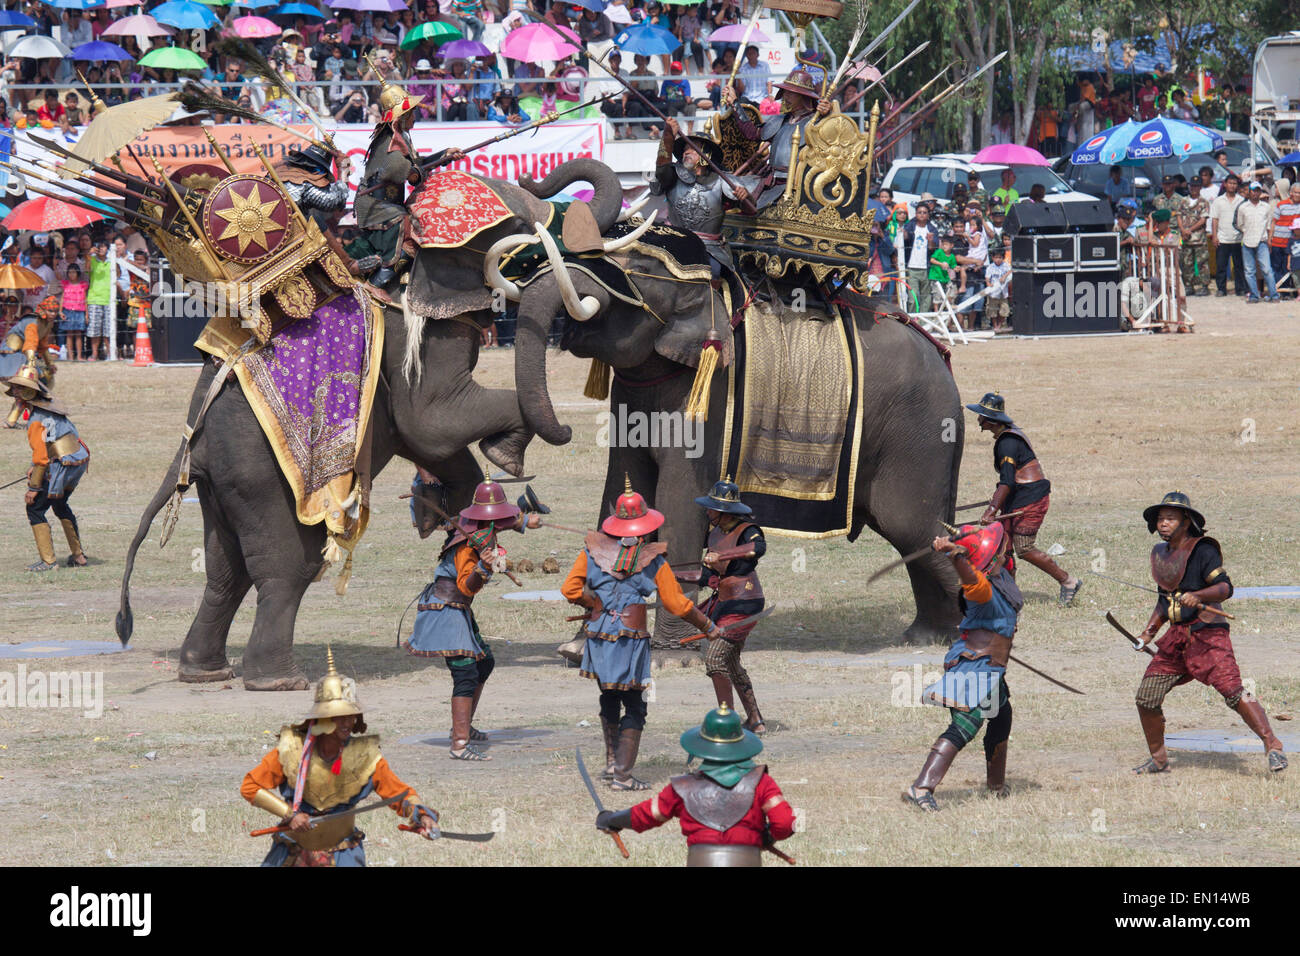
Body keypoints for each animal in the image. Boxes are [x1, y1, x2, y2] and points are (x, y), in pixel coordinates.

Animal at [115, 160, 624, 691]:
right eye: (521, 233)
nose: (537, 182)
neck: (408, 247)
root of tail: (191, 443)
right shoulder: (420, 340)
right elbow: (434, 423)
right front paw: (507, 456)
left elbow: (432, 443)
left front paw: (448, 514)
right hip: (259, 475)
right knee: (286, 567)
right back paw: (282, 681)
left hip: (224, 482)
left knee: (224, 570)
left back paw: (203, 672)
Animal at [506, 257, 967, 647]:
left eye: (634, 267)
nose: (566, 429)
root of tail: (940, 352)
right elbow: (622, 487)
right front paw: (577, 647)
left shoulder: (708, 393)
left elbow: (680, 498)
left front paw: (672, 654)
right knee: (916, 537)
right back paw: (928, 637)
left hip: (916, 430)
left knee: (913, 526)